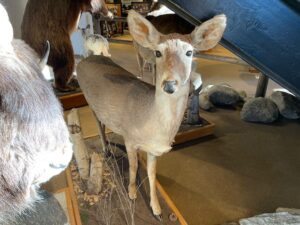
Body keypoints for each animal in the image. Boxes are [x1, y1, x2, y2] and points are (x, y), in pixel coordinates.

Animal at [76, 9, 226, 219]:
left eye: (190, 52)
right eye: (157, 52)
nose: (169, 84)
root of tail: (87, 59)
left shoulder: (153, 149)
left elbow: (152, 174)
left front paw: (156, 209)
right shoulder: (130, 138)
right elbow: (133, 167)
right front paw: (131, 193)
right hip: (89, 100)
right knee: (98, 124)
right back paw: (106, 149)